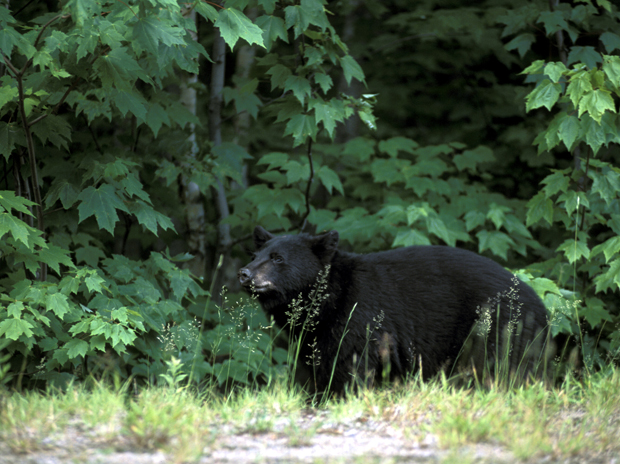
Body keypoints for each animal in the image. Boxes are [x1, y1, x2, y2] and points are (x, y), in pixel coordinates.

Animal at [237, 227, 548, 394]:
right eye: (254, 255)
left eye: (277, 258)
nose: (244, 273)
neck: (329, 300)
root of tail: (540, 305)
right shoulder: (315, 336)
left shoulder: (358, 319)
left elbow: (352, 366)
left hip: (497, 326)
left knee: (502, 366)